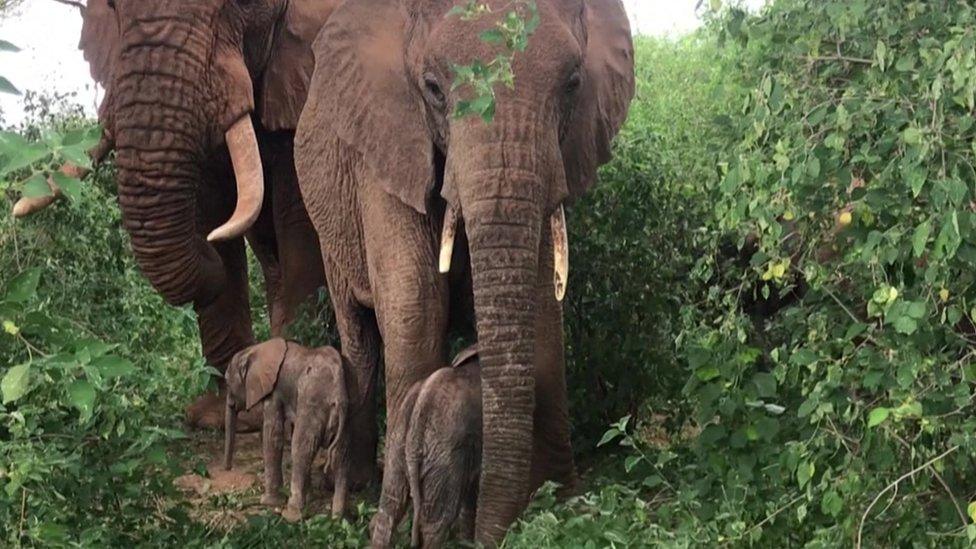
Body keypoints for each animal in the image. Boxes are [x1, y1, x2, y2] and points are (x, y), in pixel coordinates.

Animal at [15, 0, 342, 428]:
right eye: (113, 7)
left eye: (244, 4)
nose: (206, 248)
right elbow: (210, 202)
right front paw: (222, 414)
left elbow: (299, 215)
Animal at [225, 336, 350, 520]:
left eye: (227, 381)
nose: (227, 469)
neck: (254, 349)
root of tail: (338, 392)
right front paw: (309, 497)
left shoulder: (274, 391)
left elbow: (273, 434)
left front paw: (268, 502)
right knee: (342, 454)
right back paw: (338, 518)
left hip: (313, 401)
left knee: (301, 449)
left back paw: (291, 513)